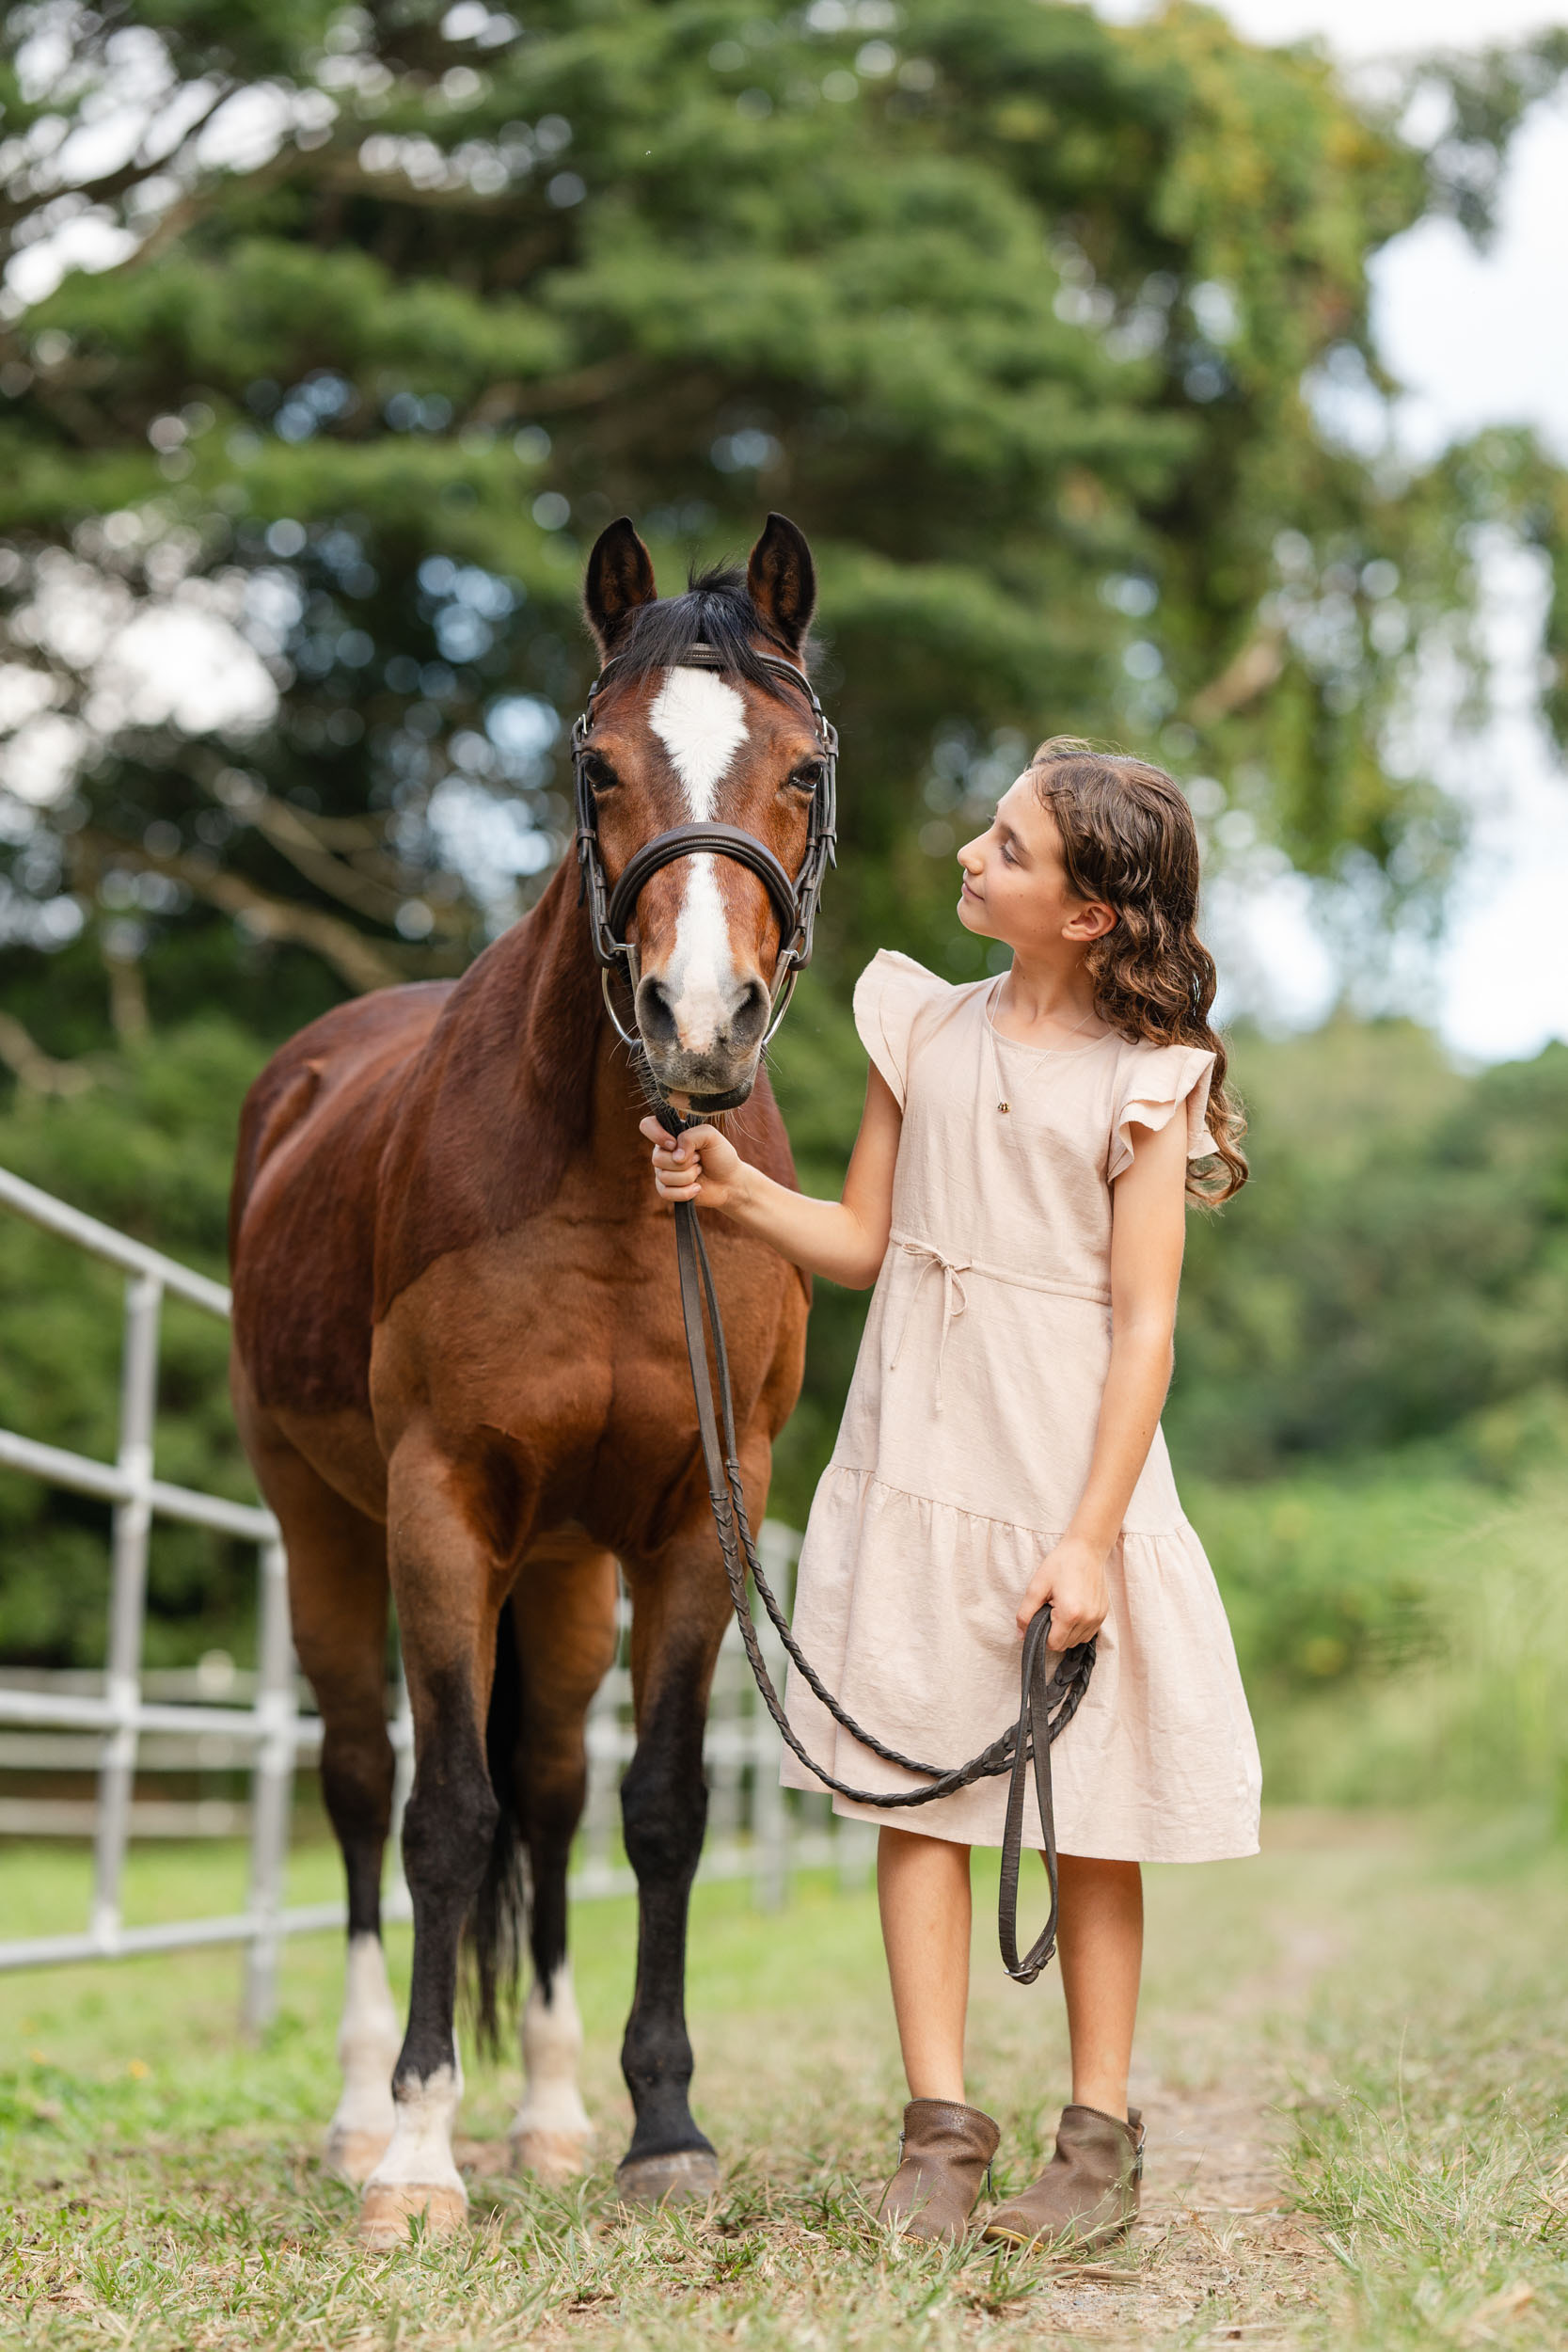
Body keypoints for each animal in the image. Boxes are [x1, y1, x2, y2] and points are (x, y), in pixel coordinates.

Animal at [232, 515, 827, 2239]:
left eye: (803, 768)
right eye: (596, 763)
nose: (699, 1022)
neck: (621, 1193)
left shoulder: (692, 1519)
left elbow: (656, 1811)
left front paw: (662, 2130)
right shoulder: (443, 1503)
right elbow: (443, 1815)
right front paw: (419, 2155)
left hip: (563, 1575)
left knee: (556, 1789)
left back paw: (554, 2118)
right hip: (325, 1530)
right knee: (362, 1782)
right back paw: (360, 2113)